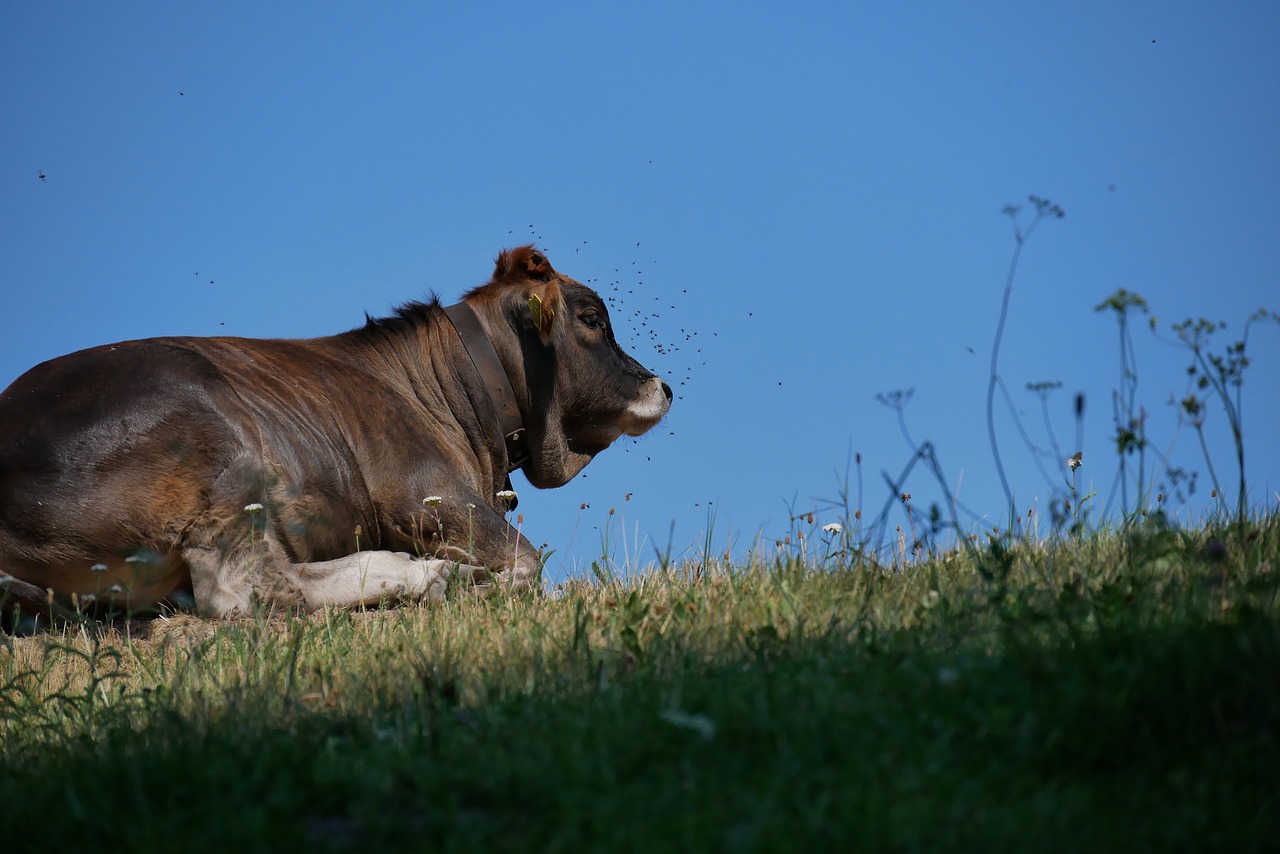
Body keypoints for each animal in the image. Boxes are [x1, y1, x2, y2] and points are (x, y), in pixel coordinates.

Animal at [0, 243, 675, 624]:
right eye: (591, 319)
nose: (665, 387)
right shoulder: (427, 497)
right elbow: (528, 566)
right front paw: (468, 583)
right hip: (222, 454)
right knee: (242, 592)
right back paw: (427, 577)